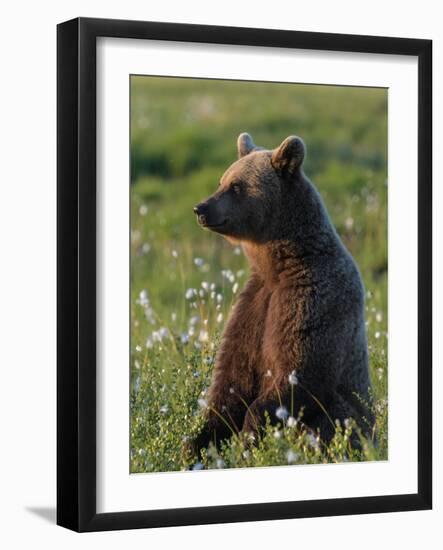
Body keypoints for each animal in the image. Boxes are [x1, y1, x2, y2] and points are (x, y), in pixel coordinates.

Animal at [191, 133, 374, 458]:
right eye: (221, 180)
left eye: (236, 186)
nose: (201, 209)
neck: (278, 266)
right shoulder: (256, 304)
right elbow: (233, 378)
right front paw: (197, 443)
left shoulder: (312, 297)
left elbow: (300, 371)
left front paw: (249, 438)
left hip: (351, 417)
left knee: (331, 420)